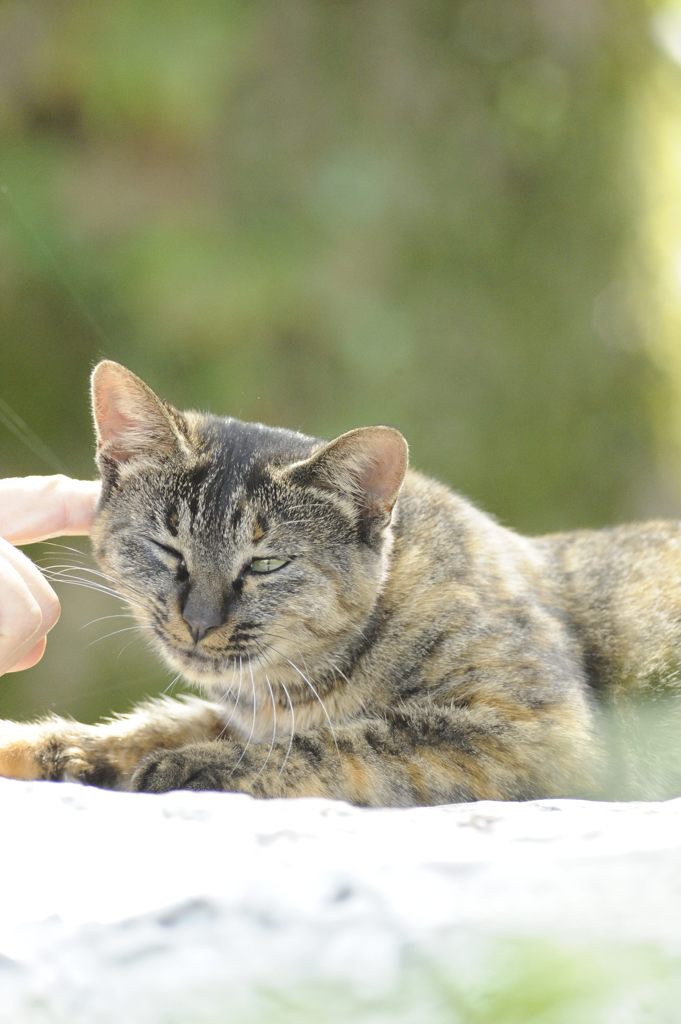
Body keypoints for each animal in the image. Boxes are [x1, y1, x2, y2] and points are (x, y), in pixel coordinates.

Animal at [1, 362, 679, 806]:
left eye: (266, 564)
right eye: (168, 548)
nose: (198, 621)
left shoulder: (535, 732)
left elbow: (347, 741)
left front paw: (191, 765)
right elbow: (162, 722)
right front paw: (46, 747)